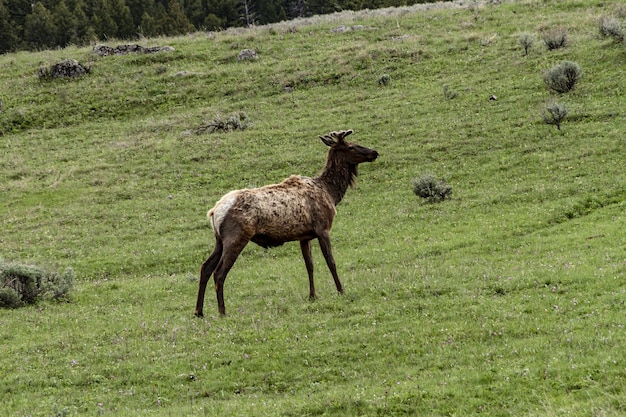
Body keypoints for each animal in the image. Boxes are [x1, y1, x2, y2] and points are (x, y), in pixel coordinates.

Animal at [195, 130, 378, 316]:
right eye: (351, 146)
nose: (374, 152)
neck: (331, 193)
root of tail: (214, 212)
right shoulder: (323, 228)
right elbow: (331, 261)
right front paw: (341, 290)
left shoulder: (304, 236)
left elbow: (309, 265)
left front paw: (312, 296)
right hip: (236, 237)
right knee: (219, 272)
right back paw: (222, 311)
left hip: (219, 240)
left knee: (205, 268)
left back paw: (199, 312)